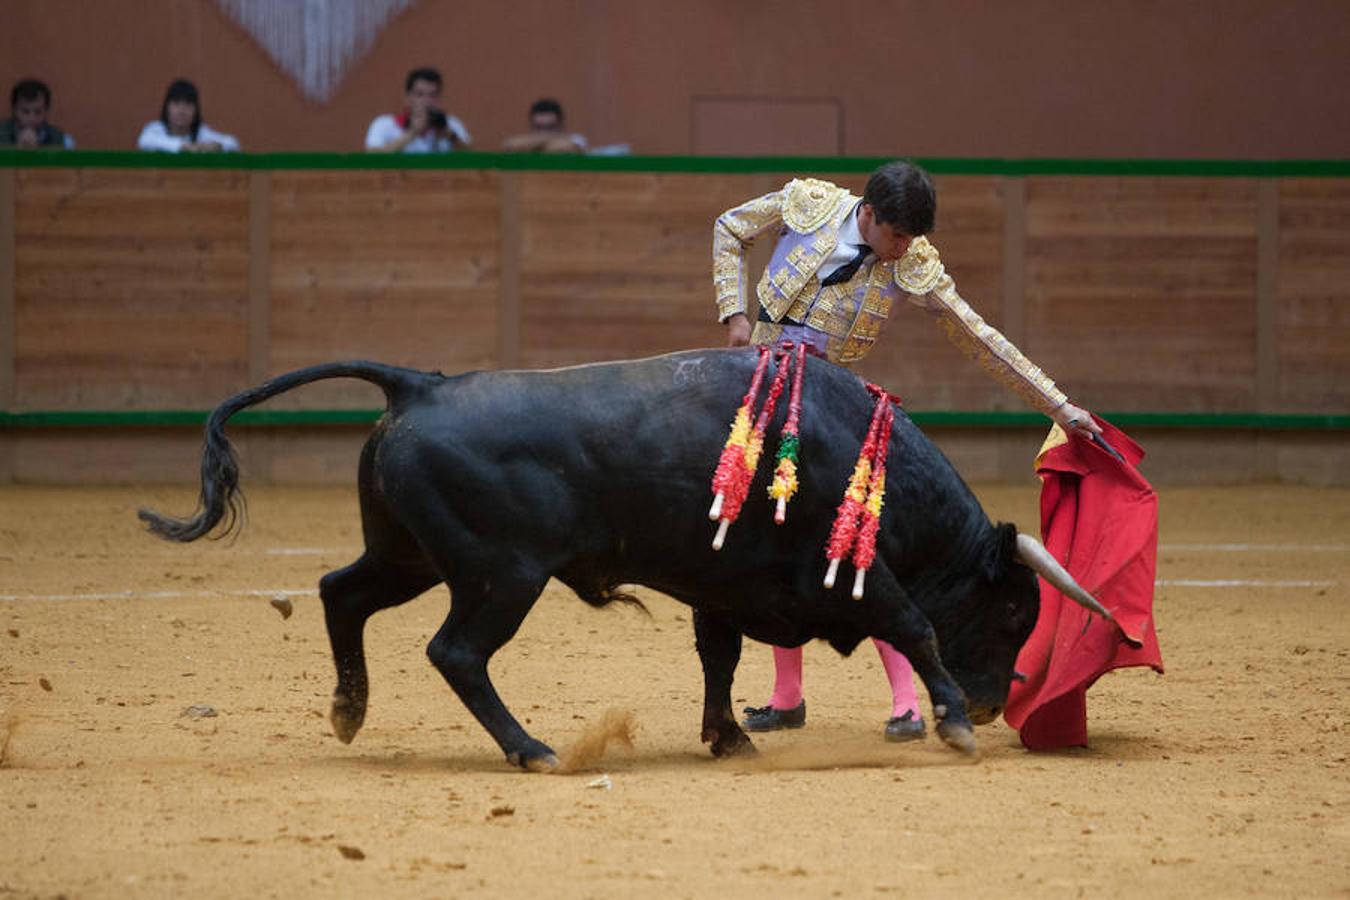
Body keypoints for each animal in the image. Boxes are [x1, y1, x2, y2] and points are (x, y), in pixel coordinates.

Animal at [139, 350, 1107, 766]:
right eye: (1015, 611)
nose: (992, 706)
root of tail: (422, 385)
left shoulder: (726, 585)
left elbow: (719, 656)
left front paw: (726, 737)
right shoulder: (846, 581)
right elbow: (912, 625)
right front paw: (949, 723)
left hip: (409, 555)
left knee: (341, 590)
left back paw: (350, 711)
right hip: (502, 575)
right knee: (457, 652)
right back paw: (532, 750)